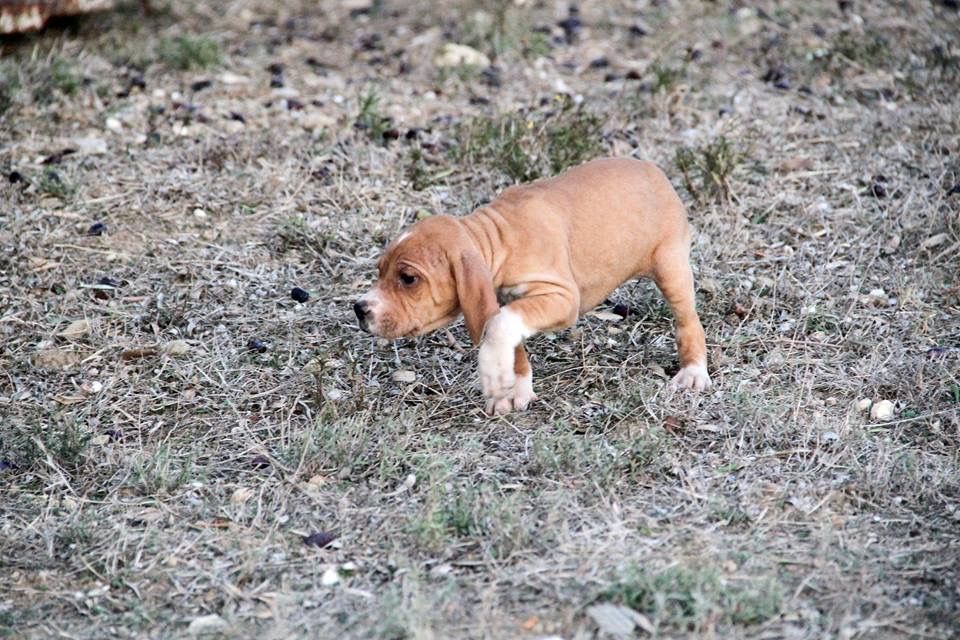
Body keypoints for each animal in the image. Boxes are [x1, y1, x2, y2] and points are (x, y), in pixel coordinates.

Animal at [354, 158, 712, 412]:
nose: (359, 308)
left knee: (688, 321)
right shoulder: (504, 303)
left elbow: (499, 327)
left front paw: (494, 376)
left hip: (670, 267)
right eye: (380, 270)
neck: (498, 237)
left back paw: (694, 371)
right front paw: (513, 388)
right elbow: (508, 340)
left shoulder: (561, 297)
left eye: (408, 278)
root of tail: (654, 170)